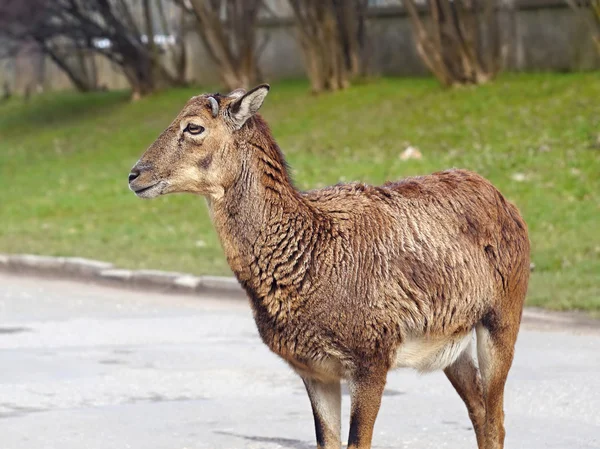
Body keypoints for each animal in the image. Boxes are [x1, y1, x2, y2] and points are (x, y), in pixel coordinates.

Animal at [130, 85, 528, 448]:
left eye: (194, 127)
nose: (135, 175)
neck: (311, 257)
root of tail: (508, 204)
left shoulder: (371, 362)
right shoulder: (315, 373)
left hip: (501, 323)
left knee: (495, 419)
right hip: (452, 348)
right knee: (479, 411)